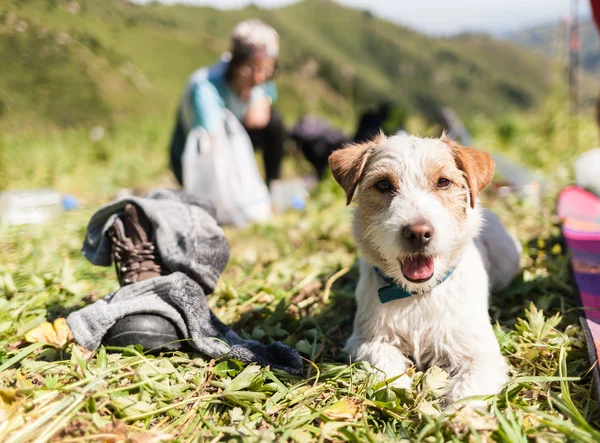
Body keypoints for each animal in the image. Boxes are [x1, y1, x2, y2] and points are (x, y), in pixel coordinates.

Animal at [328, 131, 520, 406]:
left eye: (443, 182)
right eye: (383, 185)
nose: (418, 233)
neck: (417, 294)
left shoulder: (481, 354)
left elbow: (468, 390)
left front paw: (457, 414)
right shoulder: (365, 341)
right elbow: (383, 360)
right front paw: (397, 386)